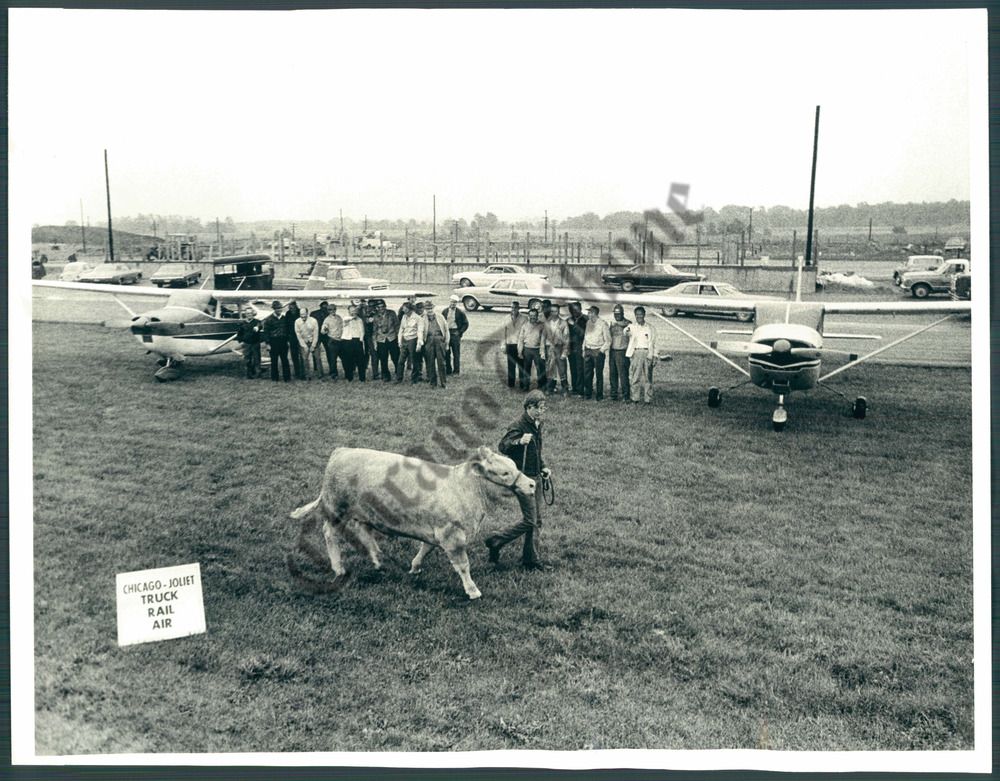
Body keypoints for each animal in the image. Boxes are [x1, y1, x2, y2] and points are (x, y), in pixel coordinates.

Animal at [290, 444, 536, 596]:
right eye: (504, 473)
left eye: (515, 466)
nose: (532, 484)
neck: (464, 486)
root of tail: (342, 451)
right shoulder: (452, 535)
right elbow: (463, 565)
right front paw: (472, 590)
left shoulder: (436, 529)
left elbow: (425, 548)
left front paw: (415, 567)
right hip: (335, 508)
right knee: (329, 533)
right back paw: (339, 568)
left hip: (365, 511)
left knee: (364, 531)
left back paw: (378, 560)